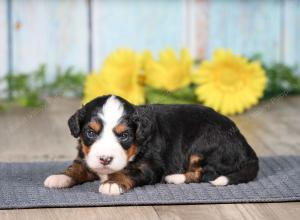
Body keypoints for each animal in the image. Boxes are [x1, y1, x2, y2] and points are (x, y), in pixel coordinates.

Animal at [44, 95, 258, 195]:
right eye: (90, 133)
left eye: (125, 135)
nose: (105, 159)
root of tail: (245, 144)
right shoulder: (86, 157)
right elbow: (77, 167)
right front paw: (60, 177)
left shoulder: (150, 166)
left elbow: (128, 172)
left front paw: (113, 183)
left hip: (204, 144)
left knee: (206, 173)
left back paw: (175, 177)